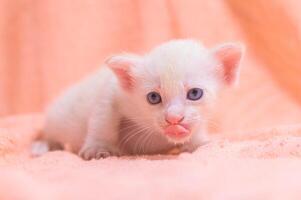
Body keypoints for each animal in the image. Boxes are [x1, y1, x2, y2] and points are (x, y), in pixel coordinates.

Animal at [41, 39, 243, 160]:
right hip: (57, 118)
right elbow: (103, 119)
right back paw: (44, 146)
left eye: (194, 94)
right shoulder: (112, 92)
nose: (173, 118)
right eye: (153, 97)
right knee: (48, 132)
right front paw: (98, 148)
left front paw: (198, 143)